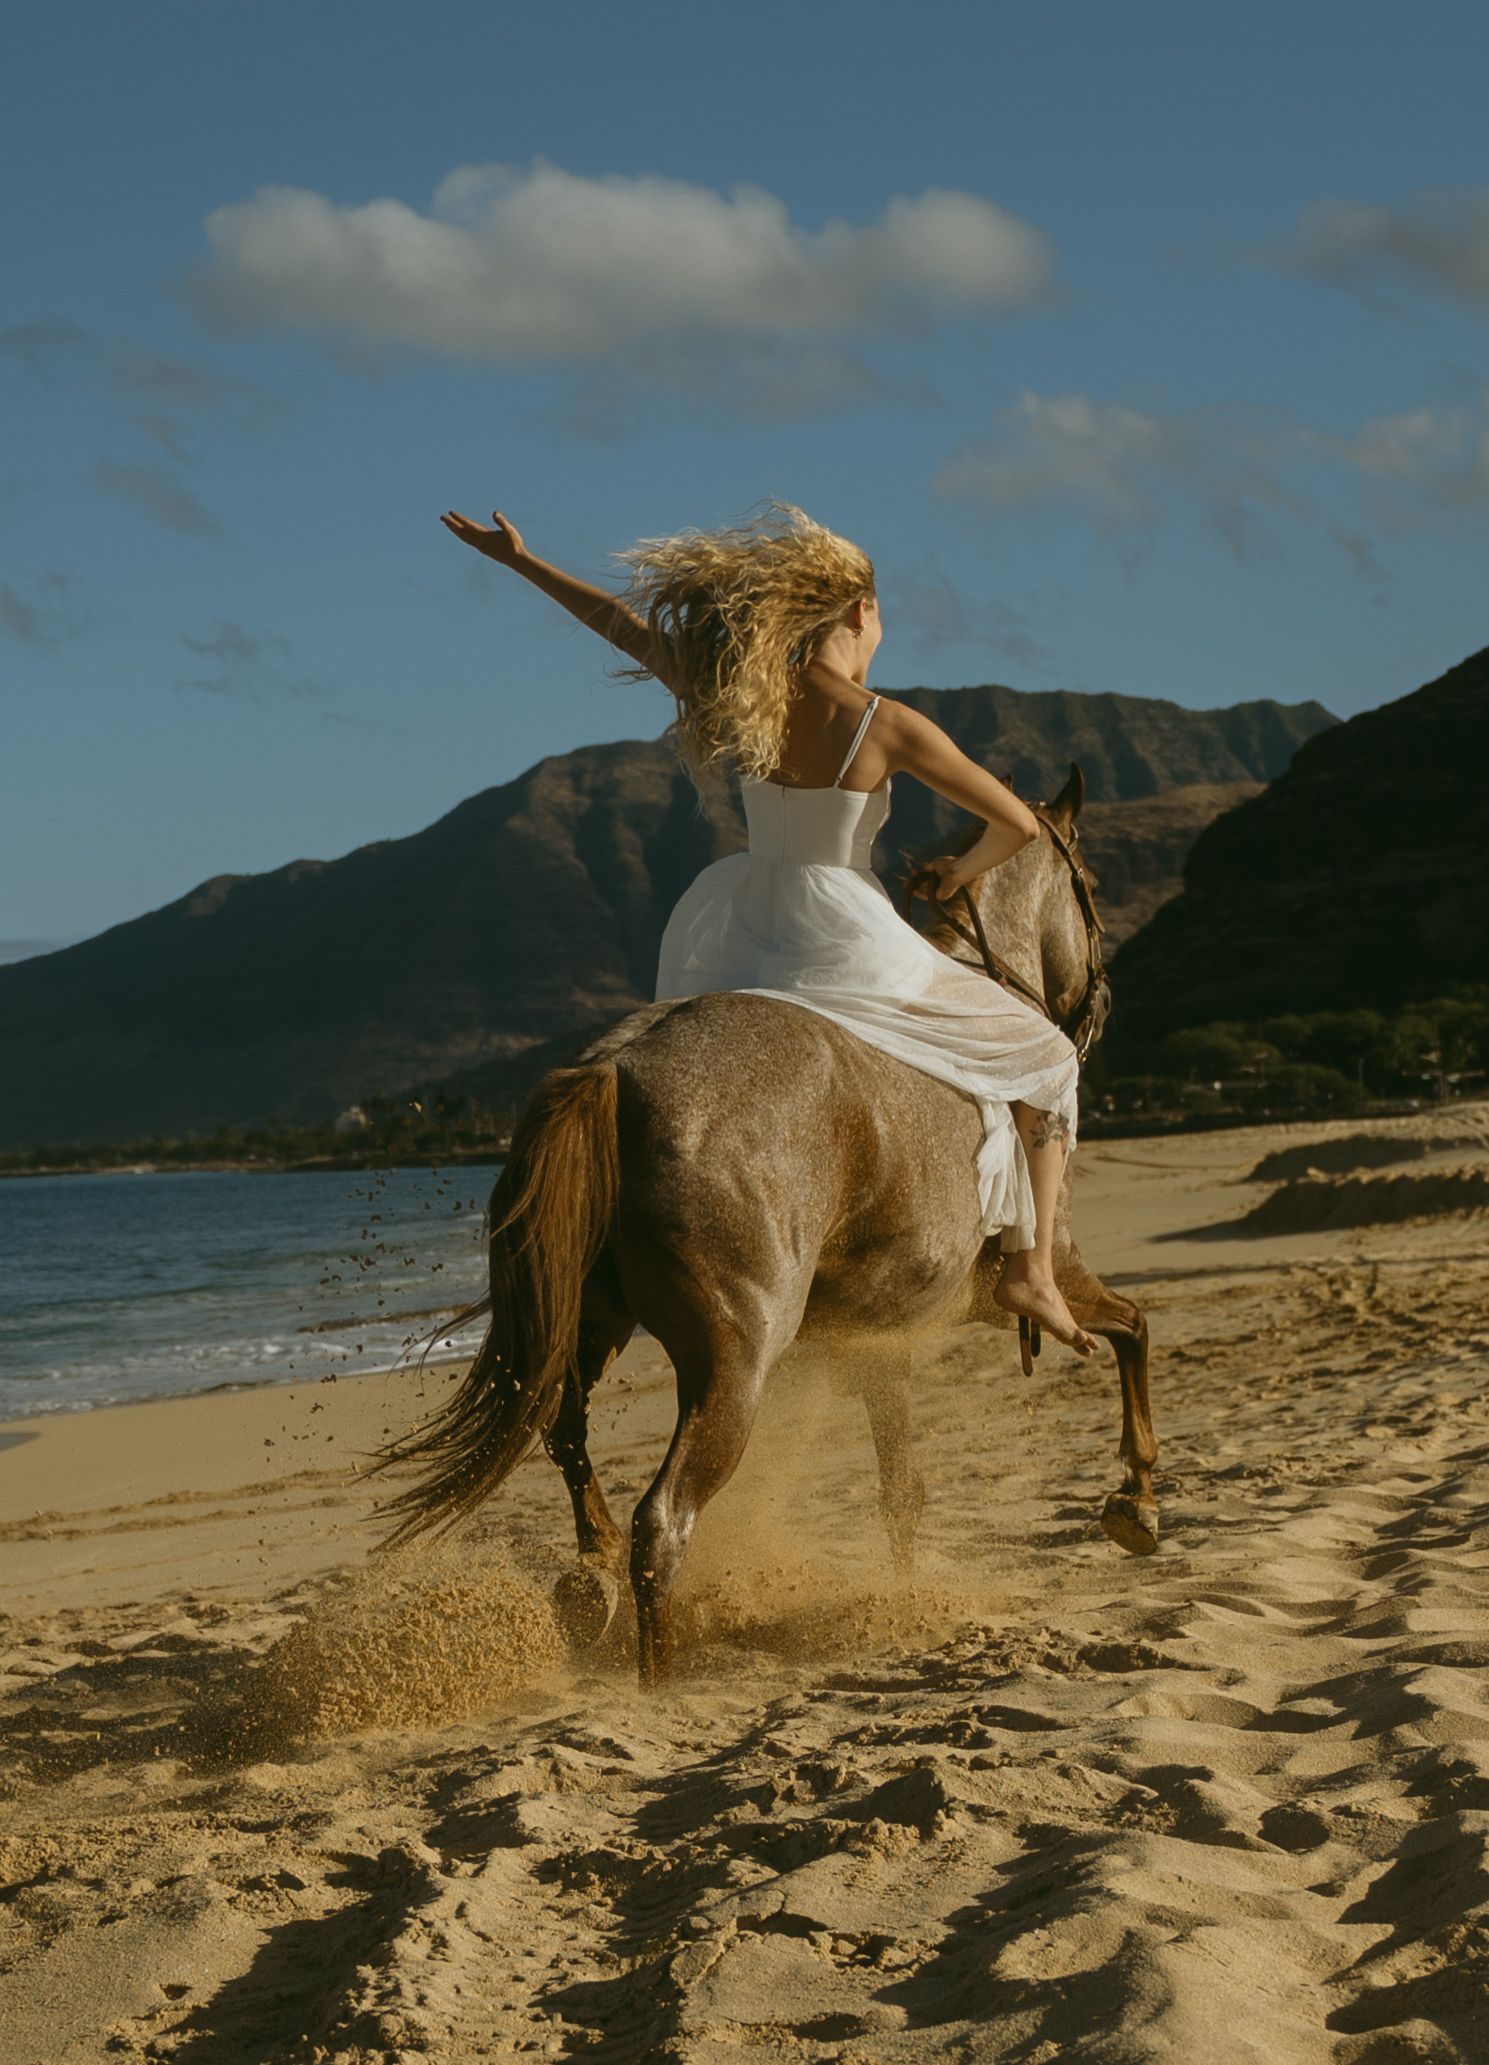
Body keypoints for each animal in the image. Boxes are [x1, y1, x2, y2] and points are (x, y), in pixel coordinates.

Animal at [376, 764, 1158, 1684]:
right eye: (1091, 885)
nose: (1101, 1002)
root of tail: (615, 1068)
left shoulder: (880, 1341)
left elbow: (901, 1488)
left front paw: (905, 1594)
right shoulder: (1039, 1279)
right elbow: (1132, 1328)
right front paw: (1138, 1497)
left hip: (593, 1323)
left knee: (563, 1432)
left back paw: (588, 1573)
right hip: (732, 1365)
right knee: (662, 1522)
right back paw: (655, 1680)